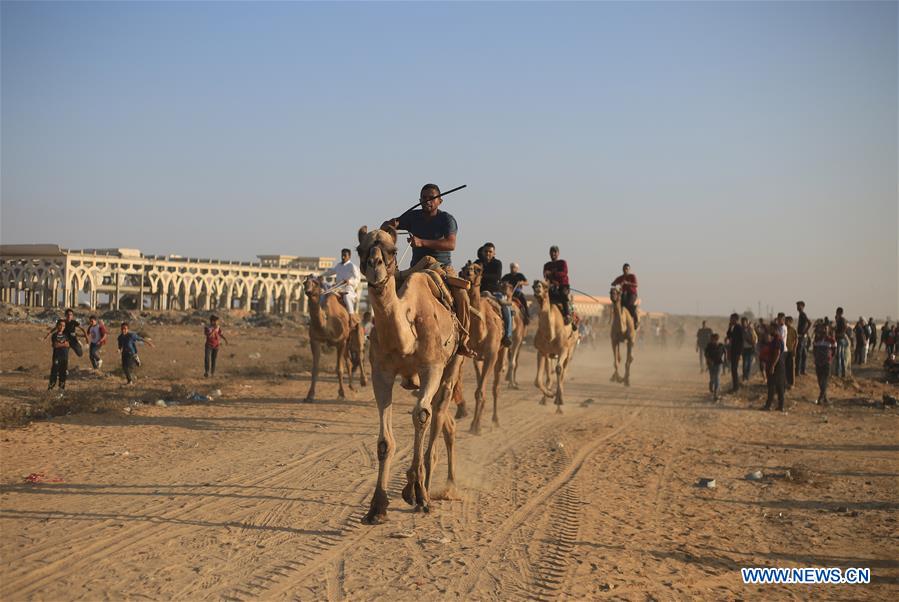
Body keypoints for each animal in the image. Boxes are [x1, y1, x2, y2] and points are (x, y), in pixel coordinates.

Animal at [356, 225, 464, 520]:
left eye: (392, 250)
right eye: (360, 249)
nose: (375, 266)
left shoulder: (431, 367)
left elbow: (421, 417)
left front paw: (419, 494)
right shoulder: (381, 373)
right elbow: (384, 442)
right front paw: (377, 507)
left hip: (452, 364)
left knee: (438, 411)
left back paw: (429, 487)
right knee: (445, 419)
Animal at [460, 260, 510, 434]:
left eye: (478, 269)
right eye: (464, 267)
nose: (466, 273)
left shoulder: (491, 355)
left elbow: (482, 390)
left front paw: (477, 427)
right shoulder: (476, 356)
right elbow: (478, 391)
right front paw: (475, 424)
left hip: (502, 351)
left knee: (496, 386)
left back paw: (496, 420)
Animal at [536, 278, 576, 410]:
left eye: (546, 286)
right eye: (533, 284)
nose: (537, 287)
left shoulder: (563, 349)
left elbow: (558, 369)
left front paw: (558, 399)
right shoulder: (542, 351)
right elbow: (539, 380)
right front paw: (549, 395)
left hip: (570, 350)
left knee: (563, 370)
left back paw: (560, 398)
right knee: (552, 373)